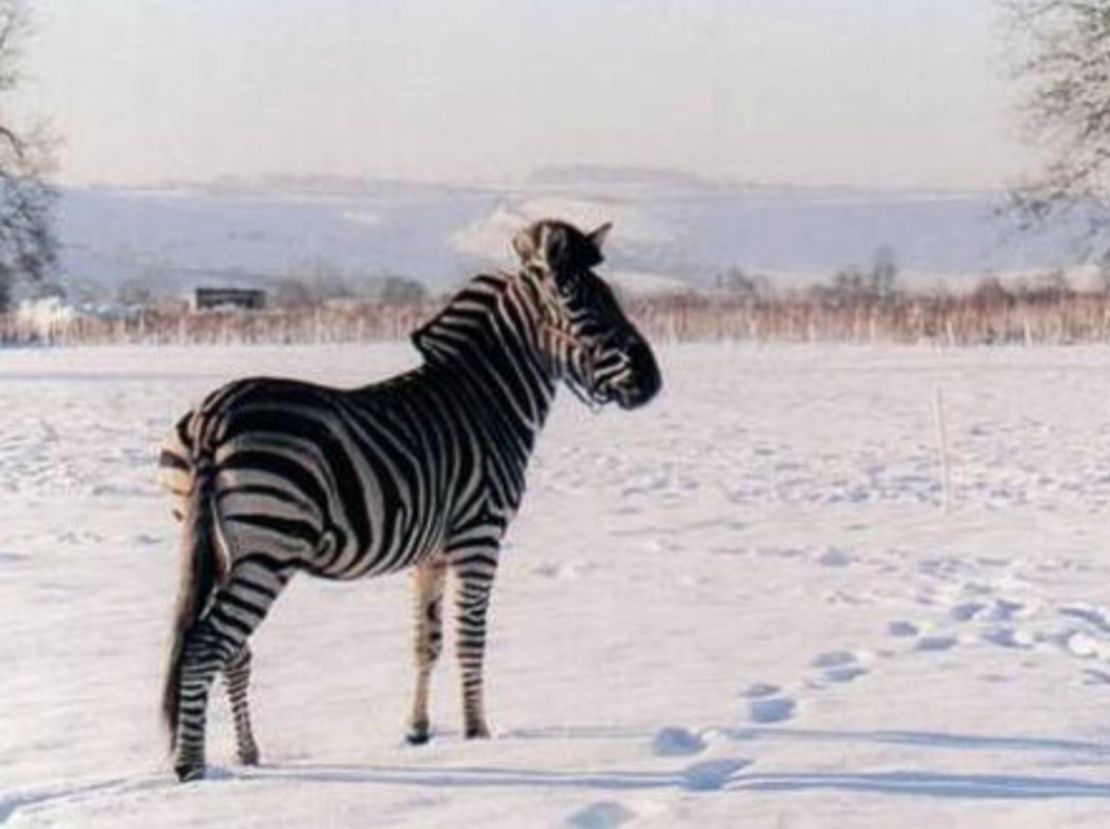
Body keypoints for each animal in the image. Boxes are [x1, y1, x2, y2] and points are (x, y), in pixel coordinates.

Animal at [156, 217, 657, 781]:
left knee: (231, 651)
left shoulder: (431, 552)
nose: (653, 381)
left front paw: (417, 731)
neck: (490, 400)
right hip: (268, 548)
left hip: (215, 544)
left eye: (610, 296)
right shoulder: (480, 536)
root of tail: (211, 416)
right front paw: (478, 736)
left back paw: (248, 754)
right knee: (205, 645)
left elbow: (426, 641)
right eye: (580, 304)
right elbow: (470, 638)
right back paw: (191, 767)